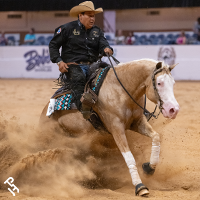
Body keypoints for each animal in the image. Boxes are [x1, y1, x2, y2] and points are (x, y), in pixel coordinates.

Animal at [39, 59, 180, 197]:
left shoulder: (137, 122)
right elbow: (129, 157)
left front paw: (149, 168)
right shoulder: (116, 128)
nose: (173, 110)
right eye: (159, 83)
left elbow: (156, 137)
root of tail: (44, 112)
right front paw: (140, 186)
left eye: (173, 82)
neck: (120, 90)